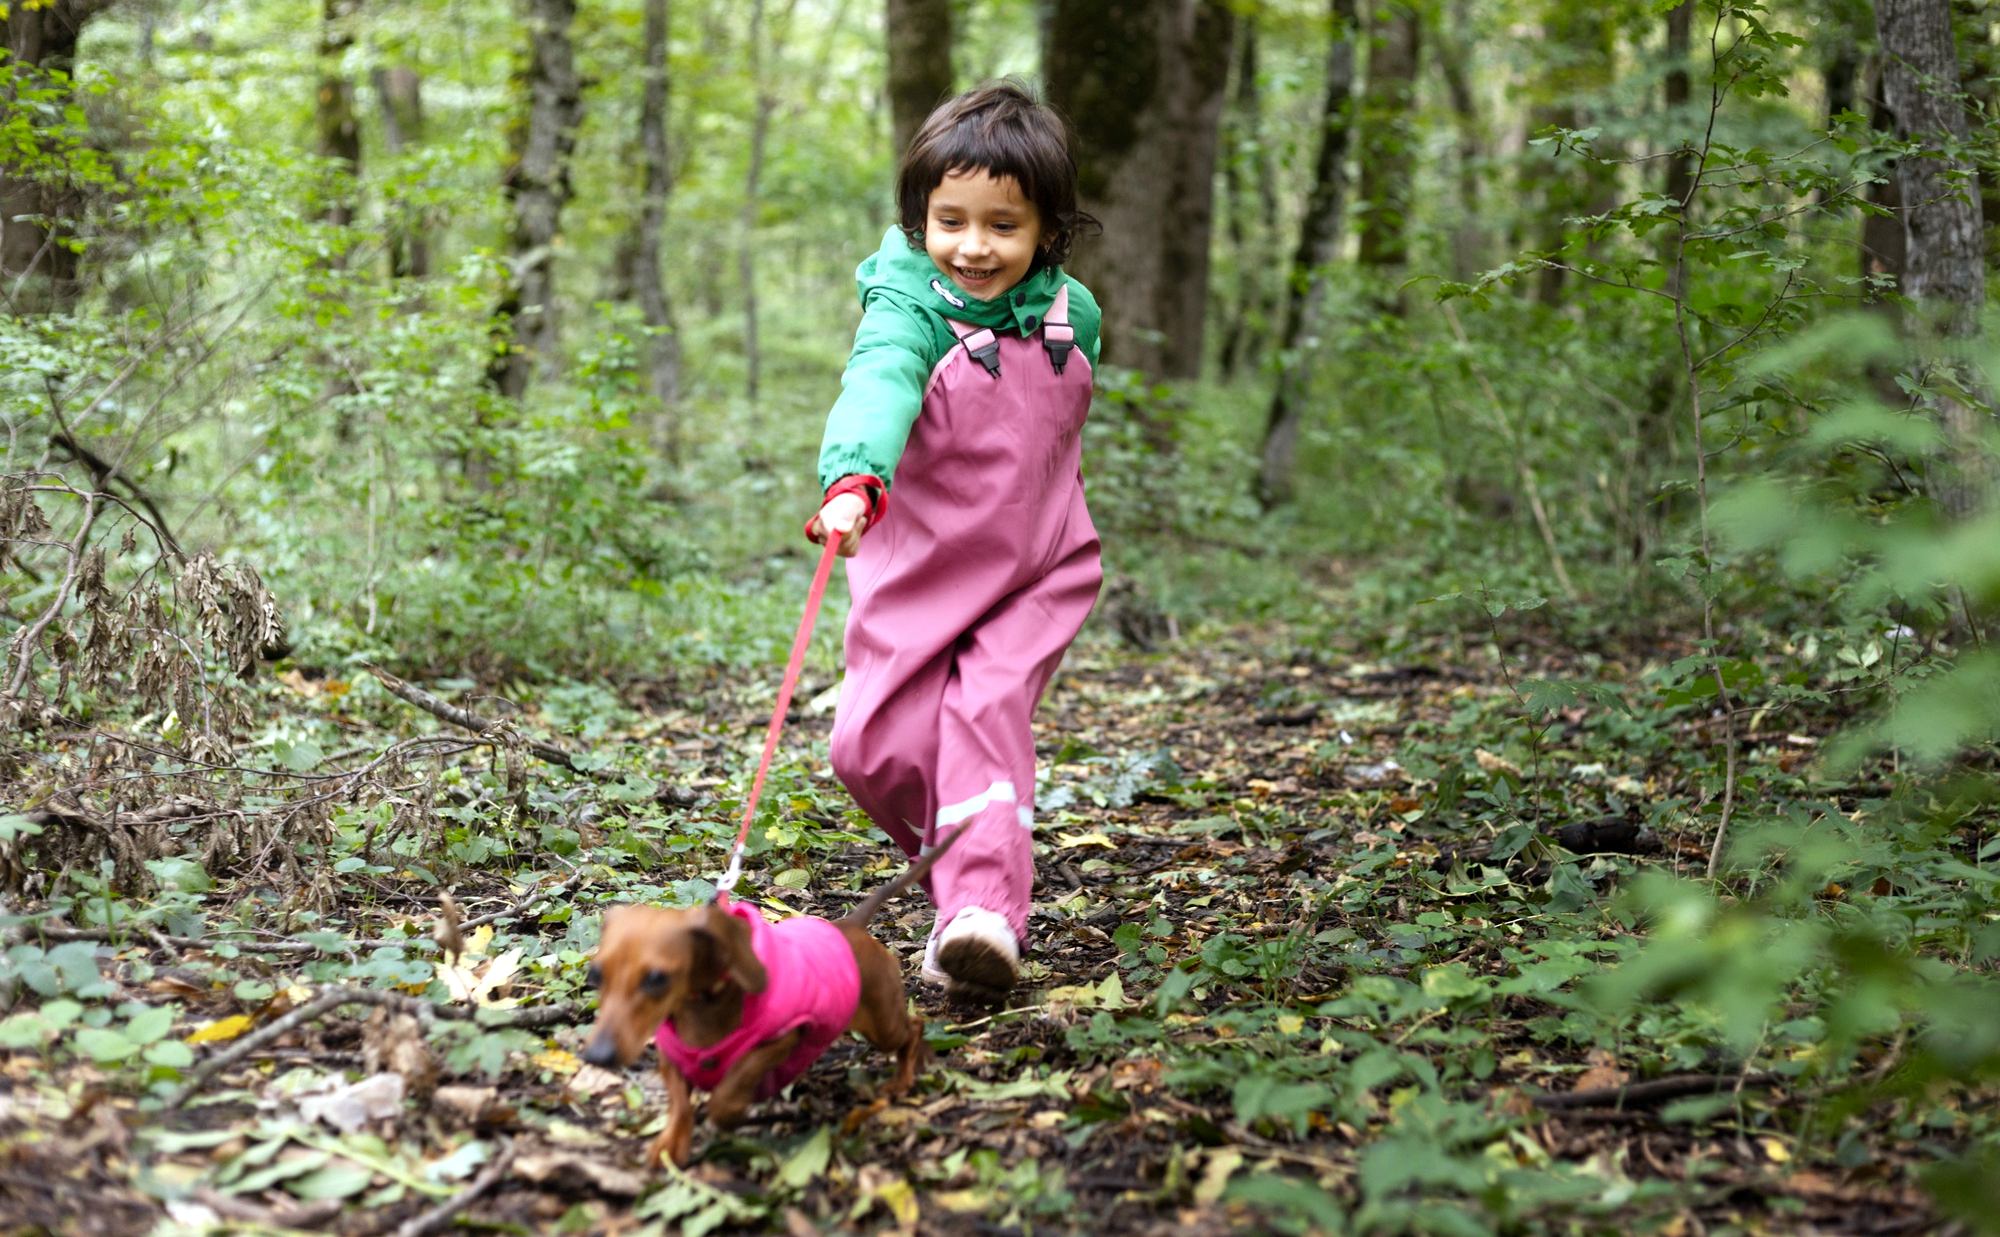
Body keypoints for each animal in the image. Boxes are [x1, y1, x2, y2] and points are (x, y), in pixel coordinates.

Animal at [584, 828, 964, 1168]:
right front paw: (669, 1146)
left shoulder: (786, 1036)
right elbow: (680, 1105)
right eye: (595, 975)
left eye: (657, 979)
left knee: (914, 1027)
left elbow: (733, 1085)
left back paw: (903, 1078)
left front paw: (734, 1110)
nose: (596, 1056)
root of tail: (850, 928)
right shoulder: (670, 1059)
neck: (704, 1007)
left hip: (882, 1025)